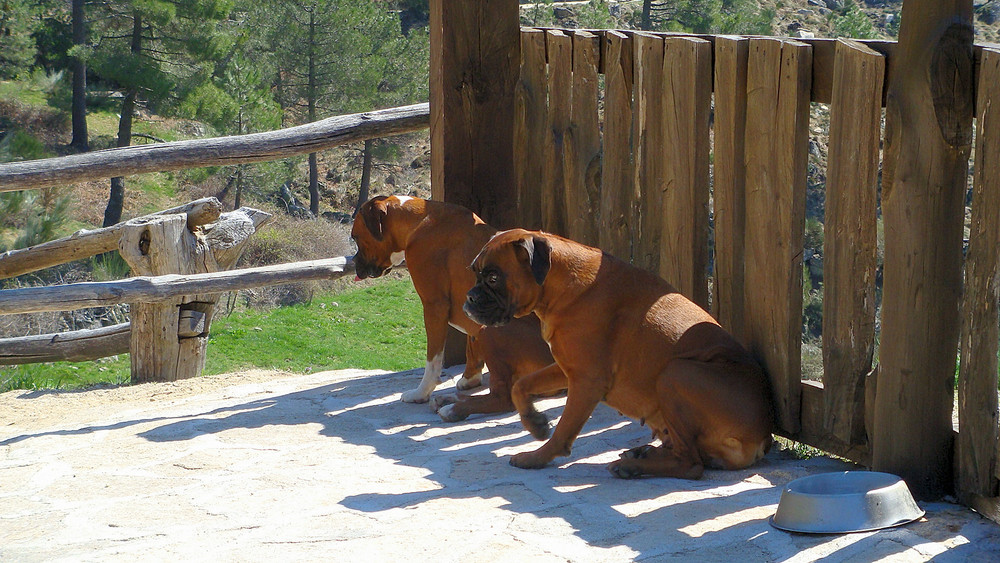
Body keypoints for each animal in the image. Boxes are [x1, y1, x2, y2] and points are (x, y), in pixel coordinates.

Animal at [352, 195, 560, 418]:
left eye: (355, 237)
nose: (354, 262)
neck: (417, 221)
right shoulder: (471, 304)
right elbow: (471, 344)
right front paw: (470, 378)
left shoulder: (434, 306)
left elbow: (433, 360)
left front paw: (421, 393)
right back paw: (449, 400)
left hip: (491, 331)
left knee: (503, 399)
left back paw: (453, 408)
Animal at [464, 229, 776, 480]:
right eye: (475, 273)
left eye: (493, 277)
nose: (469, 297)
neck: (562, 286)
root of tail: (763, 436)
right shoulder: (565, 367)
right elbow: (520, 385)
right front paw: (534, 422)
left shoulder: (586, 381)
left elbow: (564, 429)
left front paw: (536, 457)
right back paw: (641, 454)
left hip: (675, 373)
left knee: (691, 464)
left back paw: (634, 467)